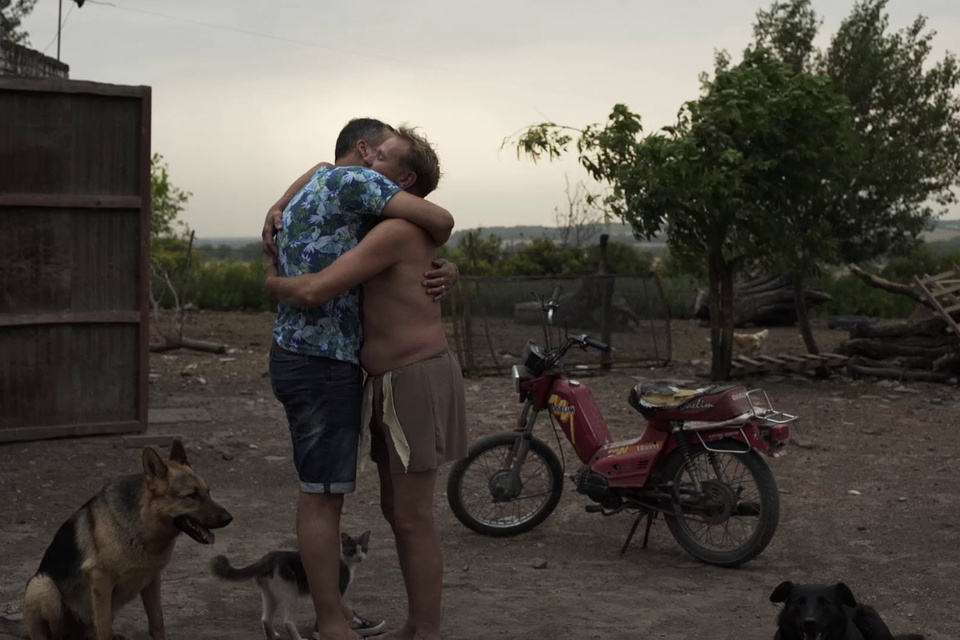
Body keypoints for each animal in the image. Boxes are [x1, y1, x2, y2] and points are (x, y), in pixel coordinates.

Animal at [22, 440, 232, 640]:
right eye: (192, 495)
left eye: (208, 492)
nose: (229, 518)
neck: (144, 529)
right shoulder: (101, 581)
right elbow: (104, 630)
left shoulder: (153, 580)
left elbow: (157, 623)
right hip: (42, 586)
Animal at [213, 528, 372, 640]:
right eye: (352, 551)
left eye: (363, 549)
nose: (360, 557)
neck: (346, 562)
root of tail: (266, 559)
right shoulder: (337, 589)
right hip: (290, 592)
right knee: (288, 621)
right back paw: (299, 638)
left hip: (269, 593)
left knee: (265, 618)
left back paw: (272, 636)